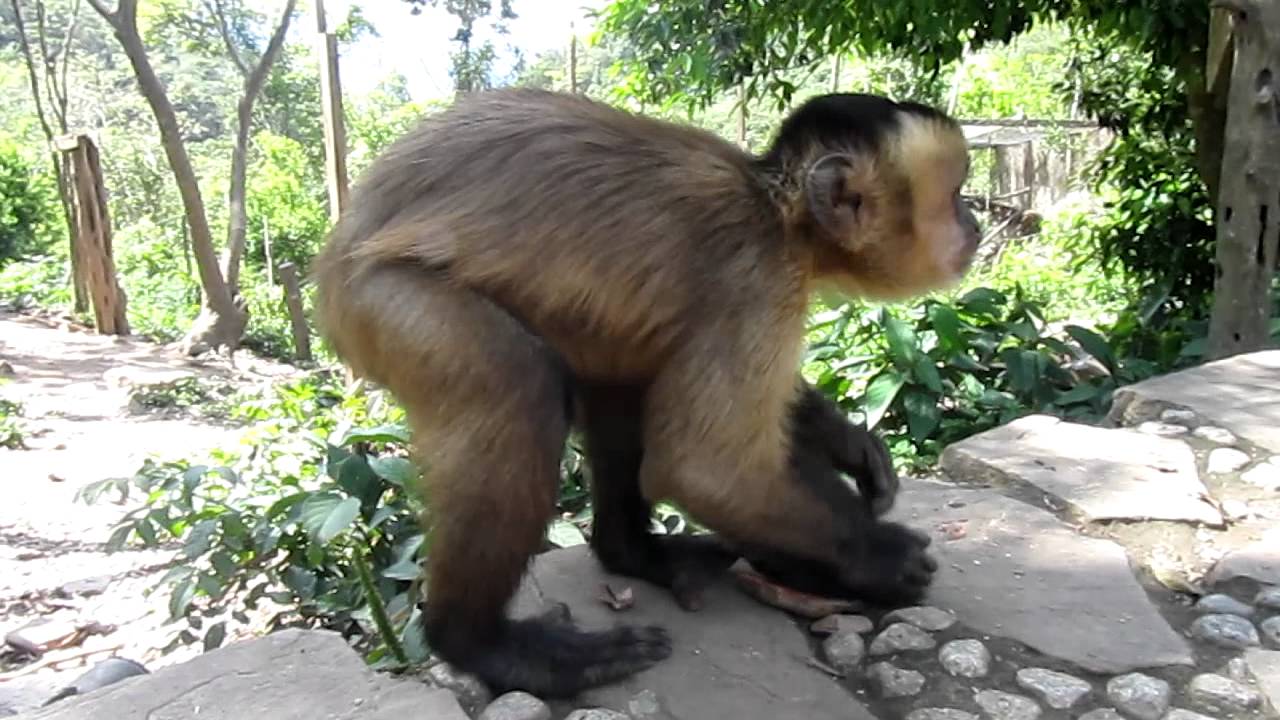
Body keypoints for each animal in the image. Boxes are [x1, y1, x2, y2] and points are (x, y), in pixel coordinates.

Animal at [312, 88, 981, 698]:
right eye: (953, 196)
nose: (974, 221)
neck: (781, 214)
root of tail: (341, 243)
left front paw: (850, 446)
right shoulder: (759, 279)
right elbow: (706, 471)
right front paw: (877, 557)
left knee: (620, 377)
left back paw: (631, 553)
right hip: (382, 301)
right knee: (517, 384)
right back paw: (480, 643)